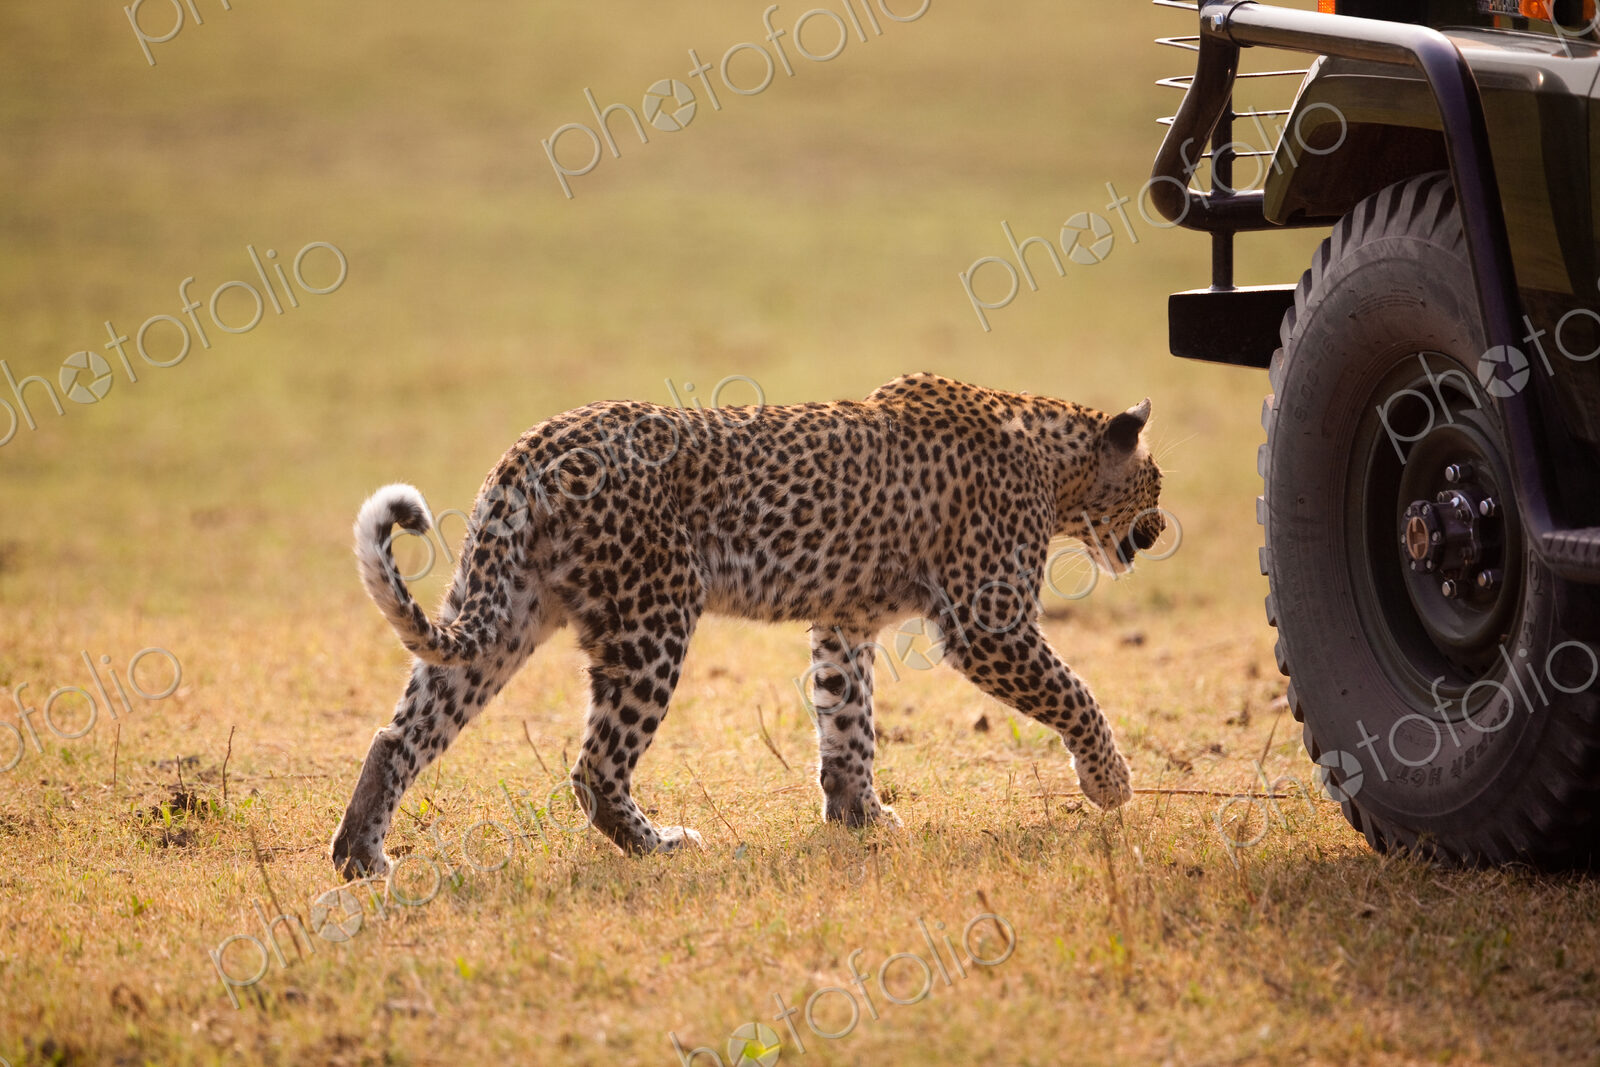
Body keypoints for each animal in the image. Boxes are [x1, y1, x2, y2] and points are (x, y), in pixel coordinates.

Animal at [331, 372, 1164, 879]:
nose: (1158, 532)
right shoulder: (987, 624)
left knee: (400, 734)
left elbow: (848, 724)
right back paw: (662, 845)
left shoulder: (843, 622)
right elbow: (1075, 692)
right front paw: (1109, 781)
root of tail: (531, 449)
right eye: (1155, 483)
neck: (1055, 464)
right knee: (596, 766)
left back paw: (360, 858)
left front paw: (861, 817)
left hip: (508, 614)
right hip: (654, 620)